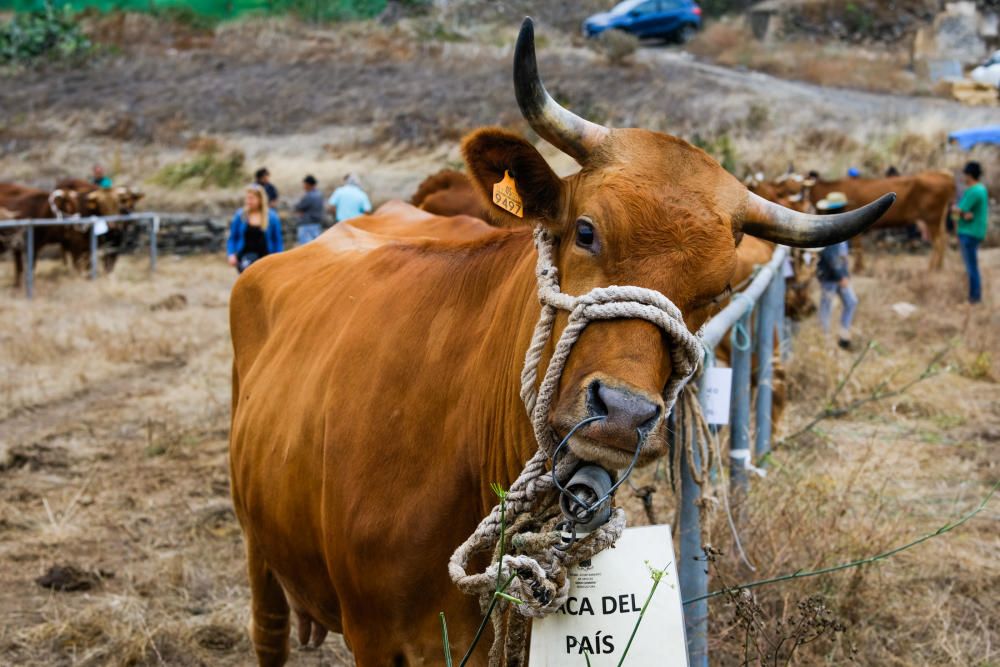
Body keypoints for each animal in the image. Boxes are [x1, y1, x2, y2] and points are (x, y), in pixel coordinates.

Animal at [229, 20, 892, 667]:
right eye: (586, 231)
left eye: (718, 289)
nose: (623, 413)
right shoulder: (375, 637)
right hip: (259, 546)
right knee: (268, 631)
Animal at [804, 172, 952, 272]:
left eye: (801, 187)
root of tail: (944, 175)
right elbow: (858, 247)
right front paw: (859, 267)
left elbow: (857, 246)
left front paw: (858, 268)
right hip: (938, 220)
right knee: (943, 239)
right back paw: (939, 267)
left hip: (932, 219)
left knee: (938, 243)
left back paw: (931, 269)